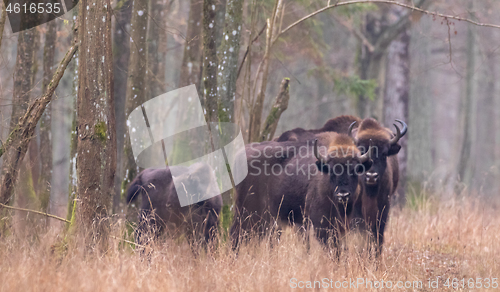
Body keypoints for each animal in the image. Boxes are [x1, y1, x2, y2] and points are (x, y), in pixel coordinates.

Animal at [230, 132, 372, 251]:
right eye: (332, 171)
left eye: (355, 170)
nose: (343, 194)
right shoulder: (320, 224)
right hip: (248, 212)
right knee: (236, 235)